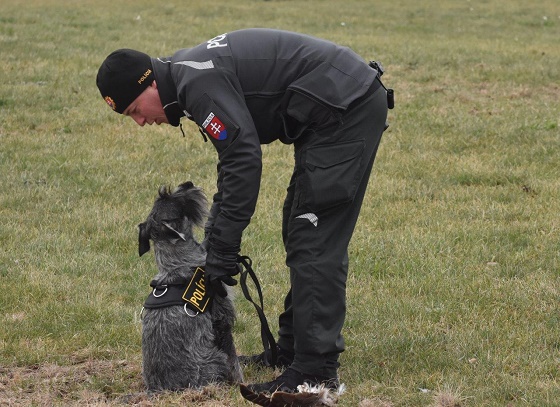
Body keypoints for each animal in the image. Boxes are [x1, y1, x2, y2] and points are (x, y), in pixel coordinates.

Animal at [138, 182, 243, 392]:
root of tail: (159, 390)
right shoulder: (222, 320)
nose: (188, 184)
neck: (177, 263)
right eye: (172, 199)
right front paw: (241, 384)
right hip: (214, 359)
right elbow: (233, 359)